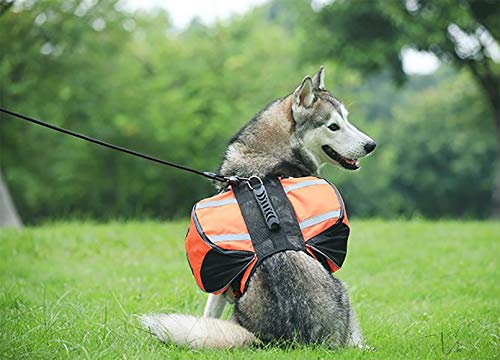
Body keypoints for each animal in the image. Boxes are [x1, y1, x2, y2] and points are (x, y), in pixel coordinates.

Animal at [140, 67, 376, 348]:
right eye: (333, 126)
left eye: (347, 119)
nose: (371, 145)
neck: (269, 160)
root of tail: (286, 339)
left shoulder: (220, 287)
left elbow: (208, 313)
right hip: (344, 293)